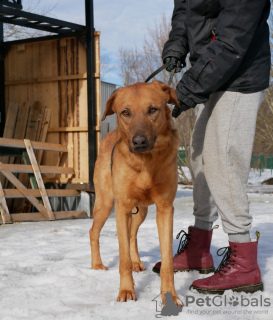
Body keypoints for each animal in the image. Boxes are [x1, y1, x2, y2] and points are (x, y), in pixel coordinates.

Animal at [89, 80, 182, 304]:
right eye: (125, 112)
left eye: (152, 110)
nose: (139, 142)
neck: (145, 162)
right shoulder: (122, 207)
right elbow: (122, 259)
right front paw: (126, 291)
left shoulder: (165, 209)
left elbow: (167, 262)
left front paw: (170, 295)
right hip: (106, 204)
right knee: (93, 232)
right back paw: (97, 265)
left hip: (142, 211)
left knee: (132, 235)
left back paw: (136, 262)